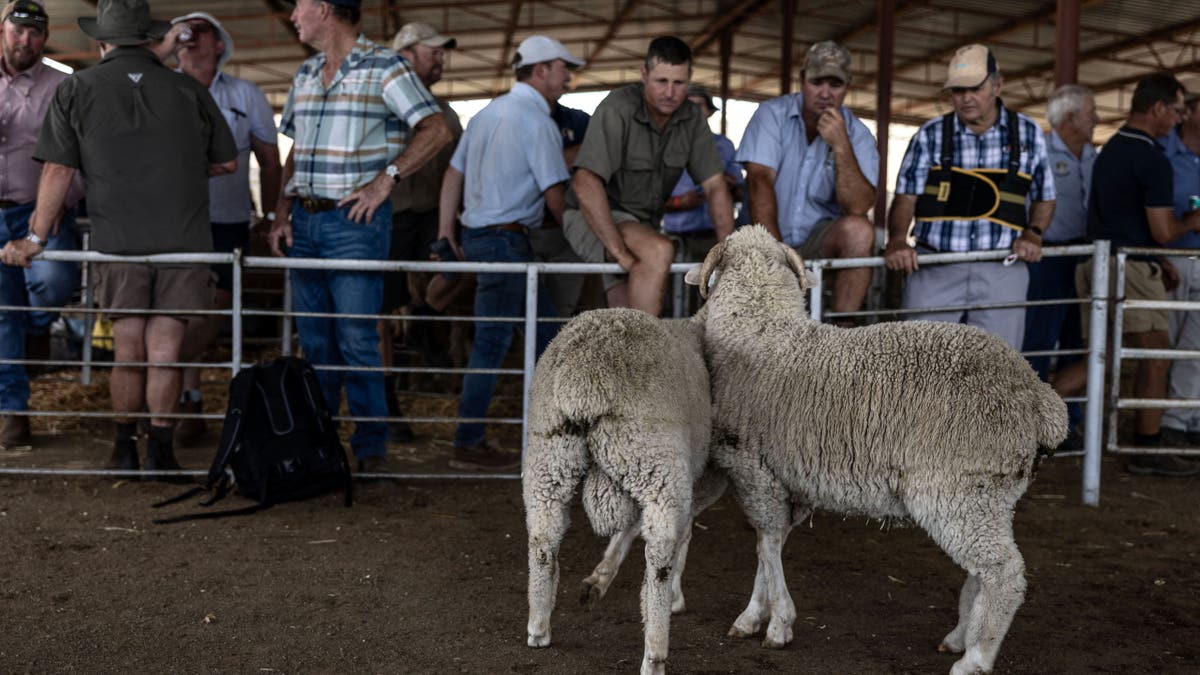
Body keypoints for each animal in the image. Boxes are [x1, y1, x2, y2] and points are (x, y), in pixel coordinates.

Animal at [523, 306, 724, 672]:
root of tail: (584, 380)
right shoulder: (693, 479)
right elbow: (681, 534)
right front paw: (674, 596)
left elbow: (629, 527)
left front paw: (597, 580)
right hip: (654, 463)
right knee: (660, 551)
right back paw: (655, 652)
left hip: (550, 456)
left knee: (543, 539)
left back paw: (539, 627)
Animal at [686, 225, 1070, 672]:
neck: (758, 328)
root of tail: (1040, 397)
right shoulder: (789, 485)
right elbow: (772, 545)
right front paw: (755, 615)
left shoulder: (755, 471)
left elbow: (766, 544)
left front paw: (777, 624)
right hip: (989, 497)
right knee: (982, 572)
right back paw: (960, 637)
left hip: (959, 491)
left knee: (1003, 572)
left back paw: (975, 657)